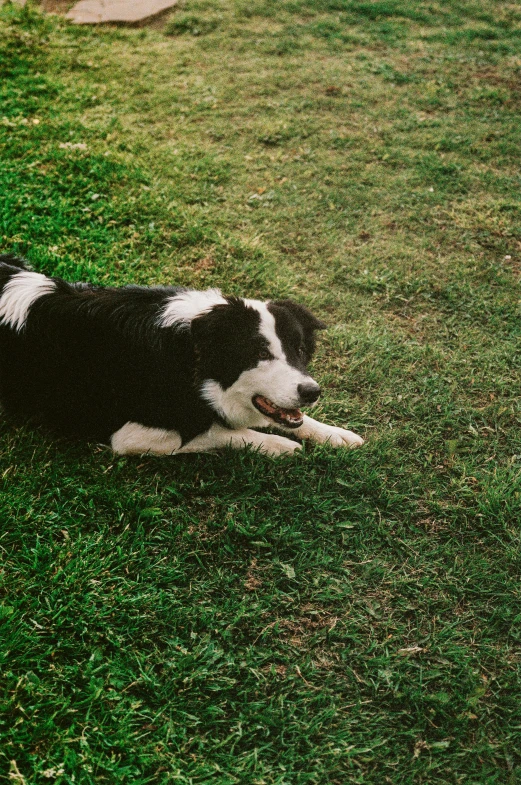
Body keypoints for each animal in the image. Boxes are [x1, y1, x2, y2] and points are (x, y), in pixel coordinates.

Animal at [0, 254, 364, 456]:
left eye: (300, 350)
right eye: (260, 352)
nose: (312, 392)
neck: (190, 356)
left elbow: (294, 421)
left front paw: (335, 433)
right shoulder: (132, 435)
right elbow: (223, 432)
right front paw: (278, 446)